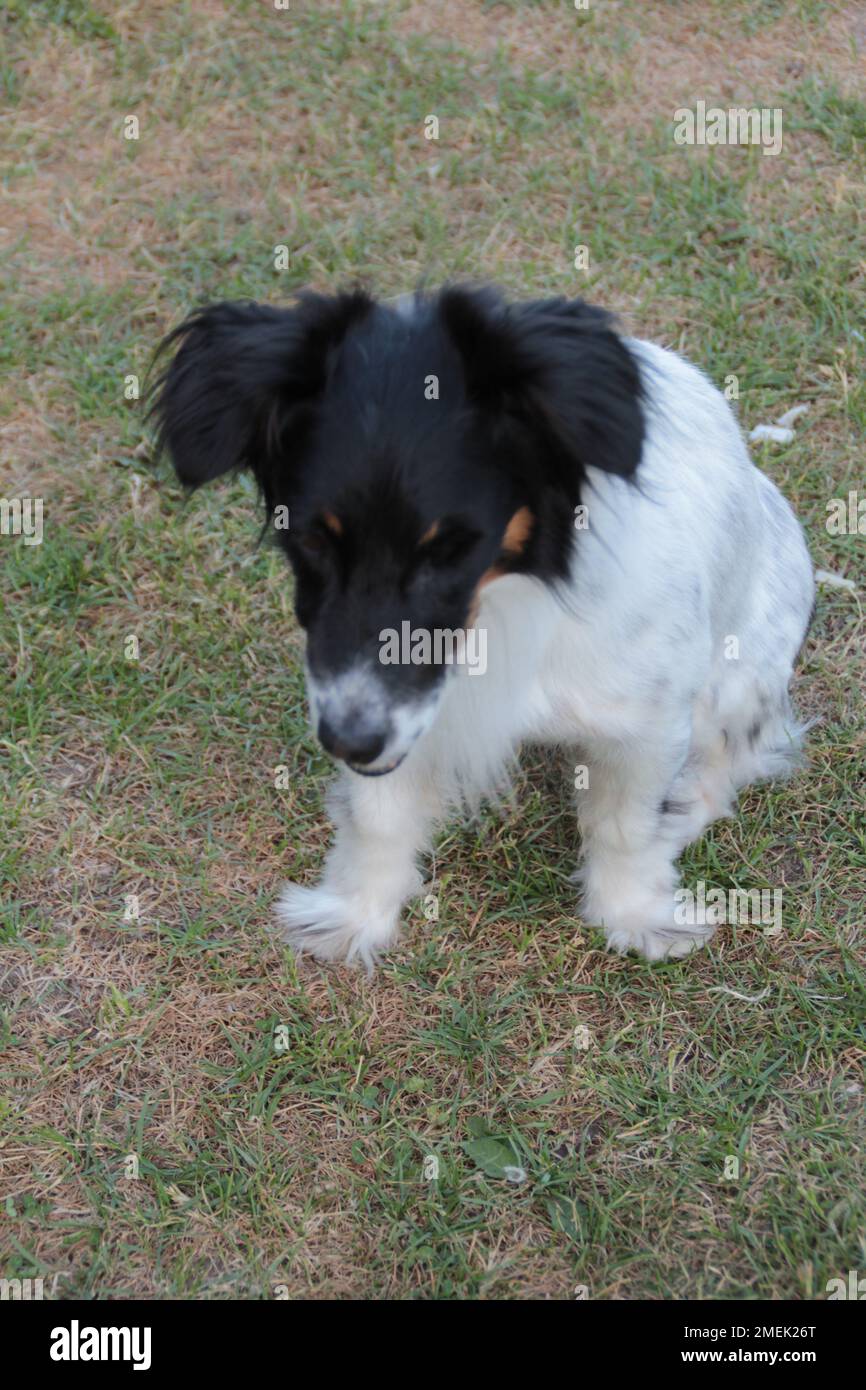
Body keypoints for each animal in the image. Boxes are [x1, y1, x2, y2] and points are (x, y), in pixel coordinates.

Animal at [150, 284, 817, 967]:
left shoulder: (647, 727)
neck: (503, 605)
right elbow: (376, 816)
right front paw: (356, 914)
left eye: (450, 550)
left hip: (740, 678)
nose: (347, 742)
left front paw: (634, 915)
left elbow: (625, 824)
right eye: (311, 538)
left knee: (733, 758)